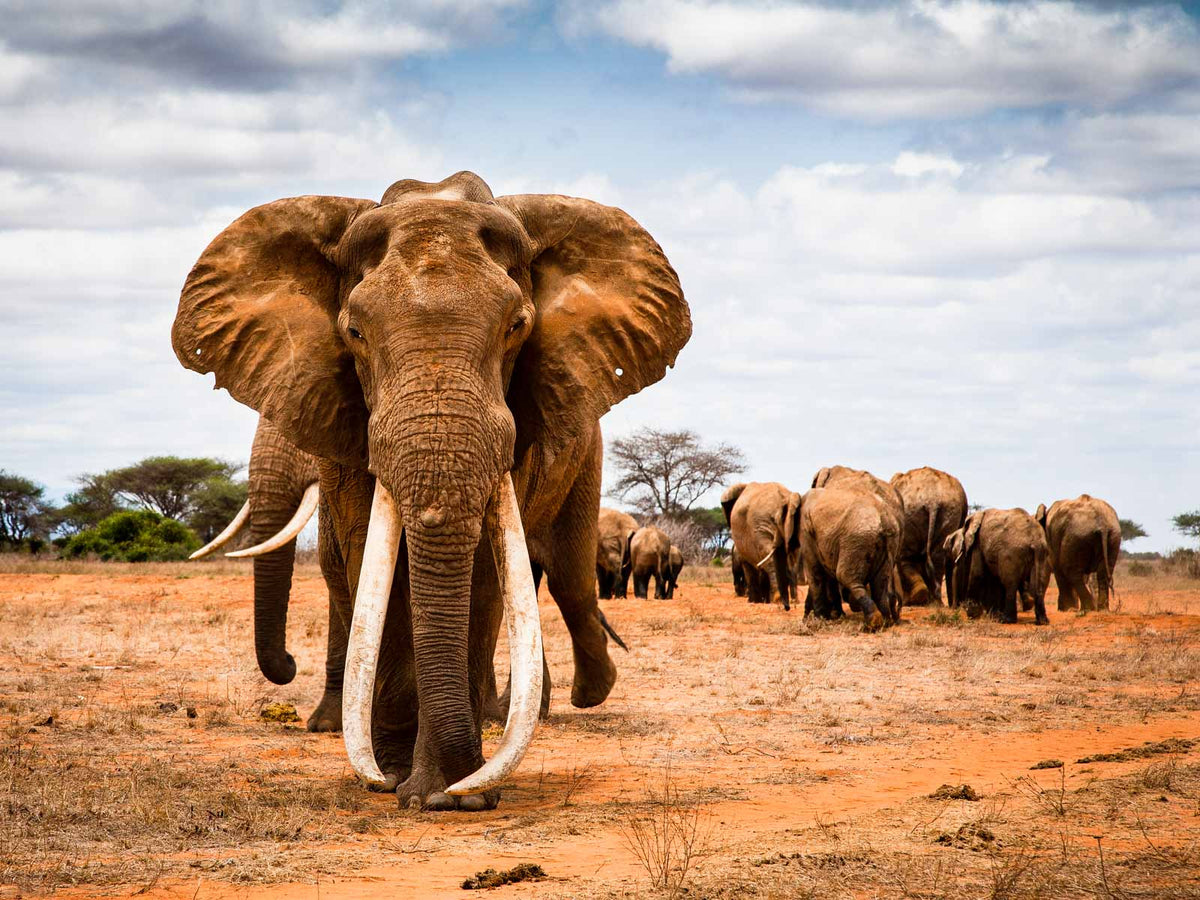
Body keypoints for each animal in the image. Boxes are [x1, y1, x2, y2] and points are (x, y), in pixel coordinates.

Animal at [799, 486, 899, 631]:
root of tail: (882, 516)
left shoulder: (806, 531)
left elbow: (816, 573)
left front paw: (817, 620)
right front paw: (828, 617)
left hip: (857, 540)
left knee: (844, 576)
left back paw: (873, 623)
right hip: (890, 540)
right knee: (880, 583)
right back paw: (886, 622)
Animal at [889, 467, 968, 607]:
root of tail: (933, 501)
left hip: (910, 512)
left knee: (907, 556)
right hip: (949, 512)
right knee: (937, 557)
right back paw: (936, 602)